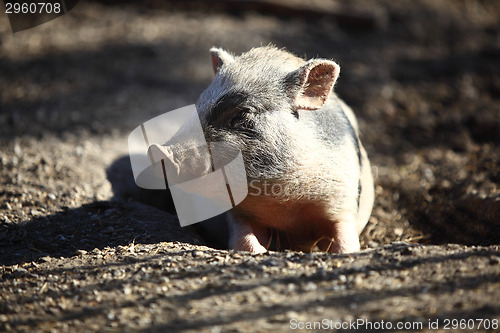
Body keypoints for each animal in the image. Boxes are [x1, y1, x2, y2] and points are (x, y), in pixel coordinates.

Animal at [150, 46, 374, 253]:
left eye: (242, 113)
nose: (157, 150)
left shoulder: (343, 201)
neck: (287, 209)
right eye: (199, 105)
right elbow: (244, 242)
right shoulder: (238, 214)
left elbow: (346, 242)